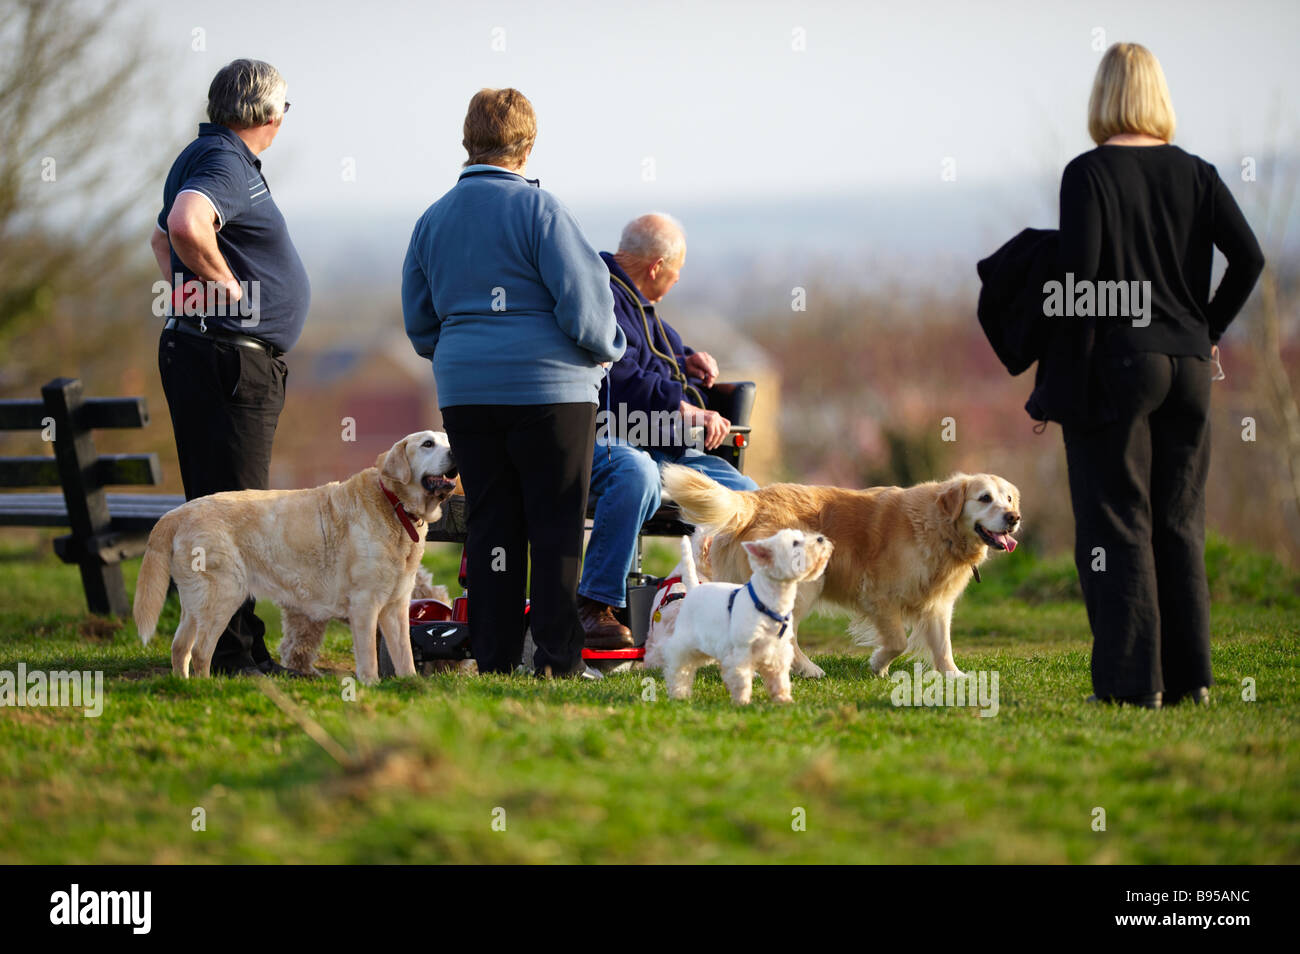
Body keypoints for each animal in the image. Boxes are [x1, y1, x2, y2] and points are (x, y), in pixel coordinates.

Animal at [660, 527, 832, 707]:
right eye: (795, 543)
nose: (821, 538)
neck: (767, 602)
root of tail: (694, 588)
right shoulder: (742, 652)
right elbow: (742, 679)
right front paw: (742, 702)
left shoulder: (776, 653)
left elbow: (779, 679)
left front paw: (783, 699)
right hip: (686, 643)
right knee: (678, 667)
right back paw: (679, 694)